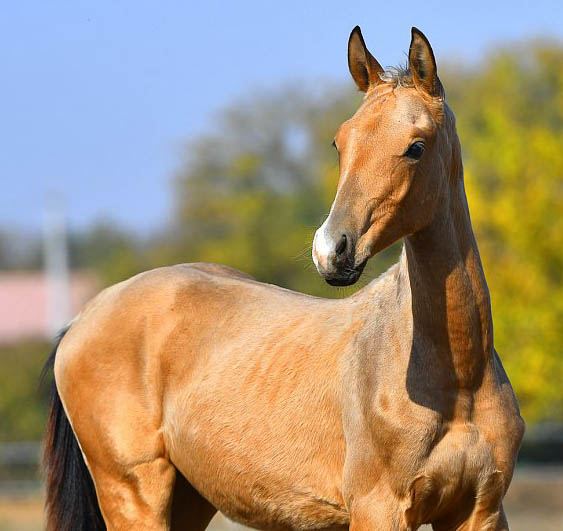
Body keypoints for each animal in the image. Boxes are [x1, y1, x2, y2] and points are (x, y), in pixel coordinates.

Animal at [43, 26, 524, 531]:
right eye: (339, 143)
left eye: (416, 146)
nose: (331, 250)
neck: (458, 386)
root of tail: (82, 320)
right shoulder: (379, 511)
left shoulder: (480, 511)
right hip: (134, 495)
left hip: (188, 500)